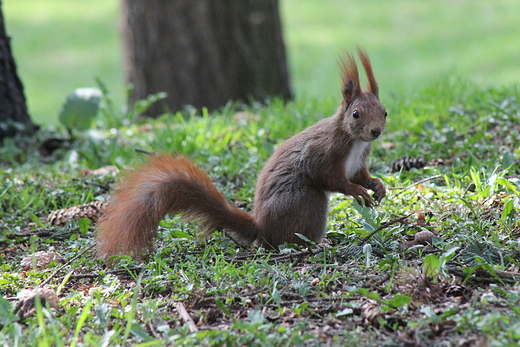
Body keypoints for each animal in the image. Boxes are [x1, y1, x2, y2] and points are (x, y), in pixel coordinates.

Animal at [96, 49, 386, 260]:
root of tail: (261, 228)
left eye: (384, 112)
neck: (353, 140)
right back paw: (315, 245)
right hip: (305, 202)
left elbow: (360, 175)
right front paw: (356, 191)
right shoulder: (324, 152)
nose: (376, 131)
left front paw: (377, 186)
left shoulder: (358, 160)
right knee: (287, 239)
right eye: (356, 114)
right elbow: (329, 177)